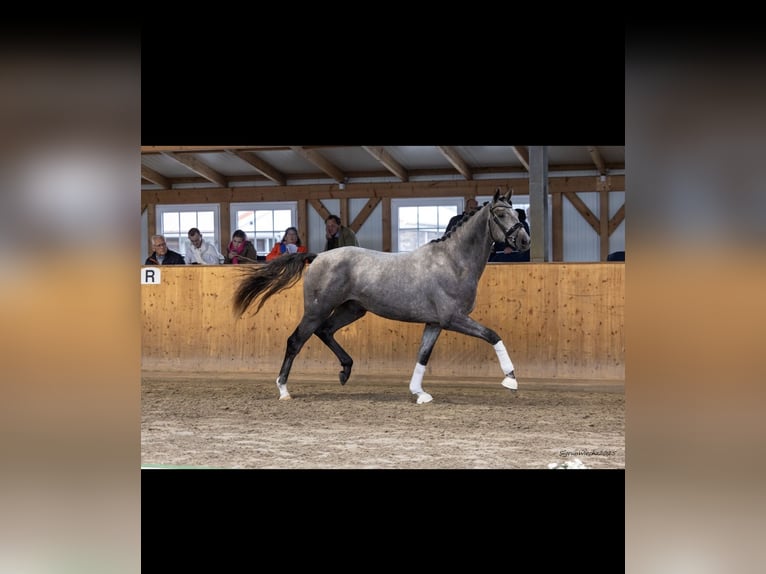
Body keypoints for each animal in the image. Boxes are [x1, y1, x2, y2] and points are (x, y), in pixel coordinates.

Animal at [233, 189, 530, 403]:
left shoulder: (435, 323)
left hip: (352, 309)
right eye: (500, 214)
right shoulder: (453, 318)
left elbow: (423, 355)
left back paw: (345, 371)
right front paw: (511, 380)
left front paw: (419, 393)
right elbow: (493, 335)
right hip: (317, 309)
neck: (453, 261)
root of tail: (318, 257)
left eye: (517, 214)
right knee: (295, 341)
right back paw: (284, 390)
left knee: (325, 331)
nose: (524, 241)